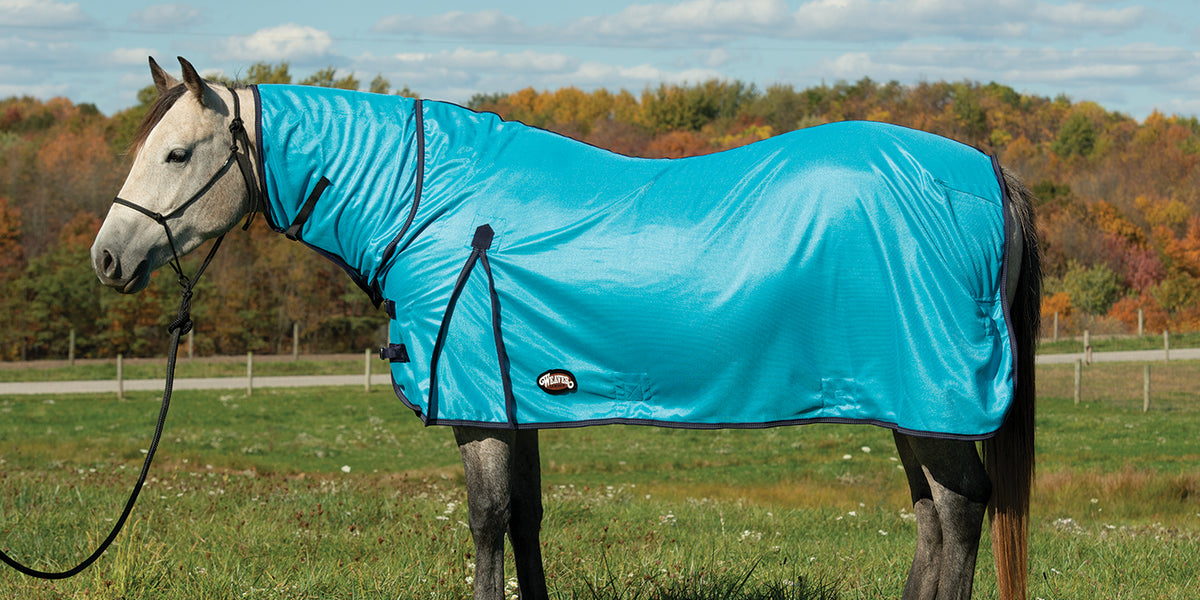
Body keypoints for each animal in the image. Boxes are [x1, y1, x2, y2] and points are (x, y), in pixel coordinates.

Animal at [92, 57, 1041, 600]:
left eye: (177, 153)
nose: (107, 257)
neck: (432, 200)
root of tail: (985, 174)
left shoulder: (475, 404)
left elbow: (485, 523)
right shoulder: (516, 399)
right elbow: (526, 520)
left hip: (934, 402)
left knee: (961, 513)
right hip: (911, 404)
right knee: (933, 517)